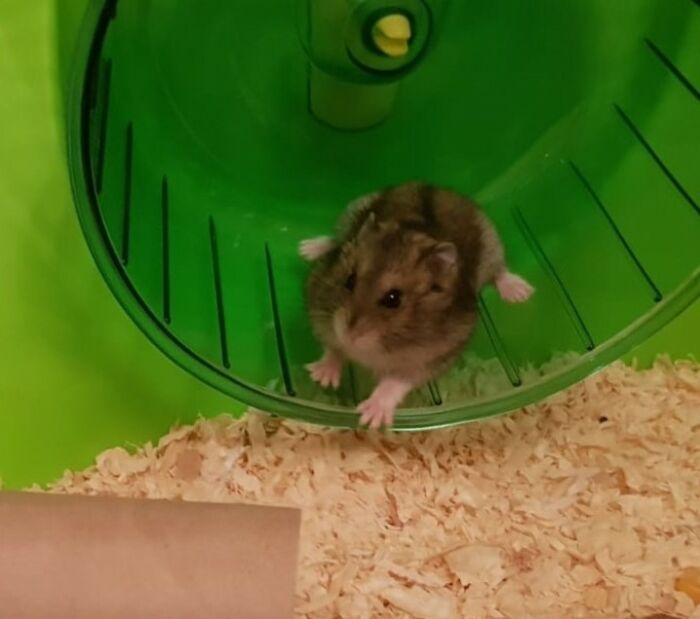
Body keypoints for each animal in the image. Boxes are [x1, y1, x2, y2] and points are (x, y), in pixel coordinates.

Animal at [299, 182, 533, 429]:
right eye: (349, 280)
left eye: (393, 299)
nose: (349, 337)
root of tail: (434, 185)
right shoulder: (322, 315)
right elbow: (333, 348)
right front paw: (321, 378)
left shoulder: (431, 357)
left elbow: (395, 381)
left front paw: (370, 417)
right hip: (351, 212)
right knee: (336, 240)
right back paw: (307, 248)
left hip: (492, 247)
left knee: (499, 272)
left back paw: (520, 292)